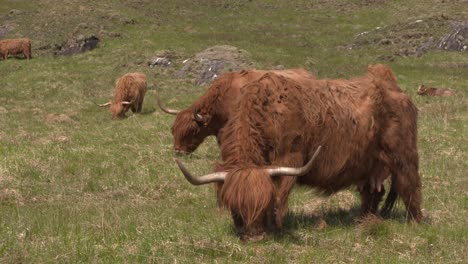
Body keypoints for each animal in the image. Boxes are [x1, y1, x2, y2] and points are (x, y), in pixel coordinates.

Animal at [176, 65, 424, 240]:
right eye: (235, 208)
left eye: (261, 205)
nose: (254, 237)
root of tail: (392, 87)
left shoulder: (290, 159)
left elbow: (279, 195)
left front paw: (276, 227)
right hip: (369, 166)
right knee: (373, 192)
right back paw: (363, 221)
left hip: (405, 157)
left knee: (410, 187)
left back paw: (415, 223)